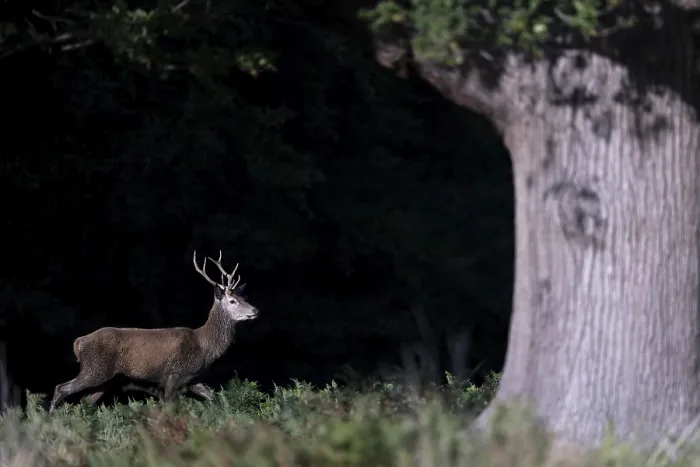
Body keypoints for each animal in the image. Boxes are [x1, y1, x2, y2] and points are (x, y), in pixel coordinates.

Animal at [48, 251, 259, 414]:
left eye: (244, 297)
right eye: (232, 301)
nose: (255, 310)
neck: (205, 347)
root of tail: (79, 342)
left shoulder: (193, 378)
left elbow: (214, 398)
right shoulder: (174, 373)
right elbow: (169, 406)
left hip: (105, 378)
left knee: (85, 401)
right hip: (94, 368)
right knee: (61, 388)